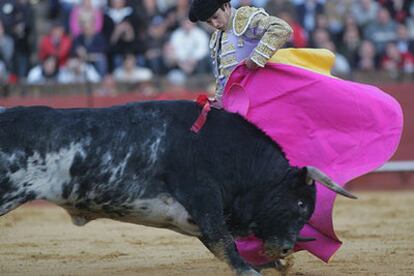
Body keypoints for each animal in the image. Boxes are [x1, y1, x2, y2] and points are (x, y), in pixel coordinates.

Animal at [0, 101, 356, 276]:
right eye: (300, 205)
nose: (285, 248)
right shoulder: (204, 199)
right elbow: (226, 243)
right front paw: (251, 269)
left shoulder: (196, 217)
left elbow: (221, 244)